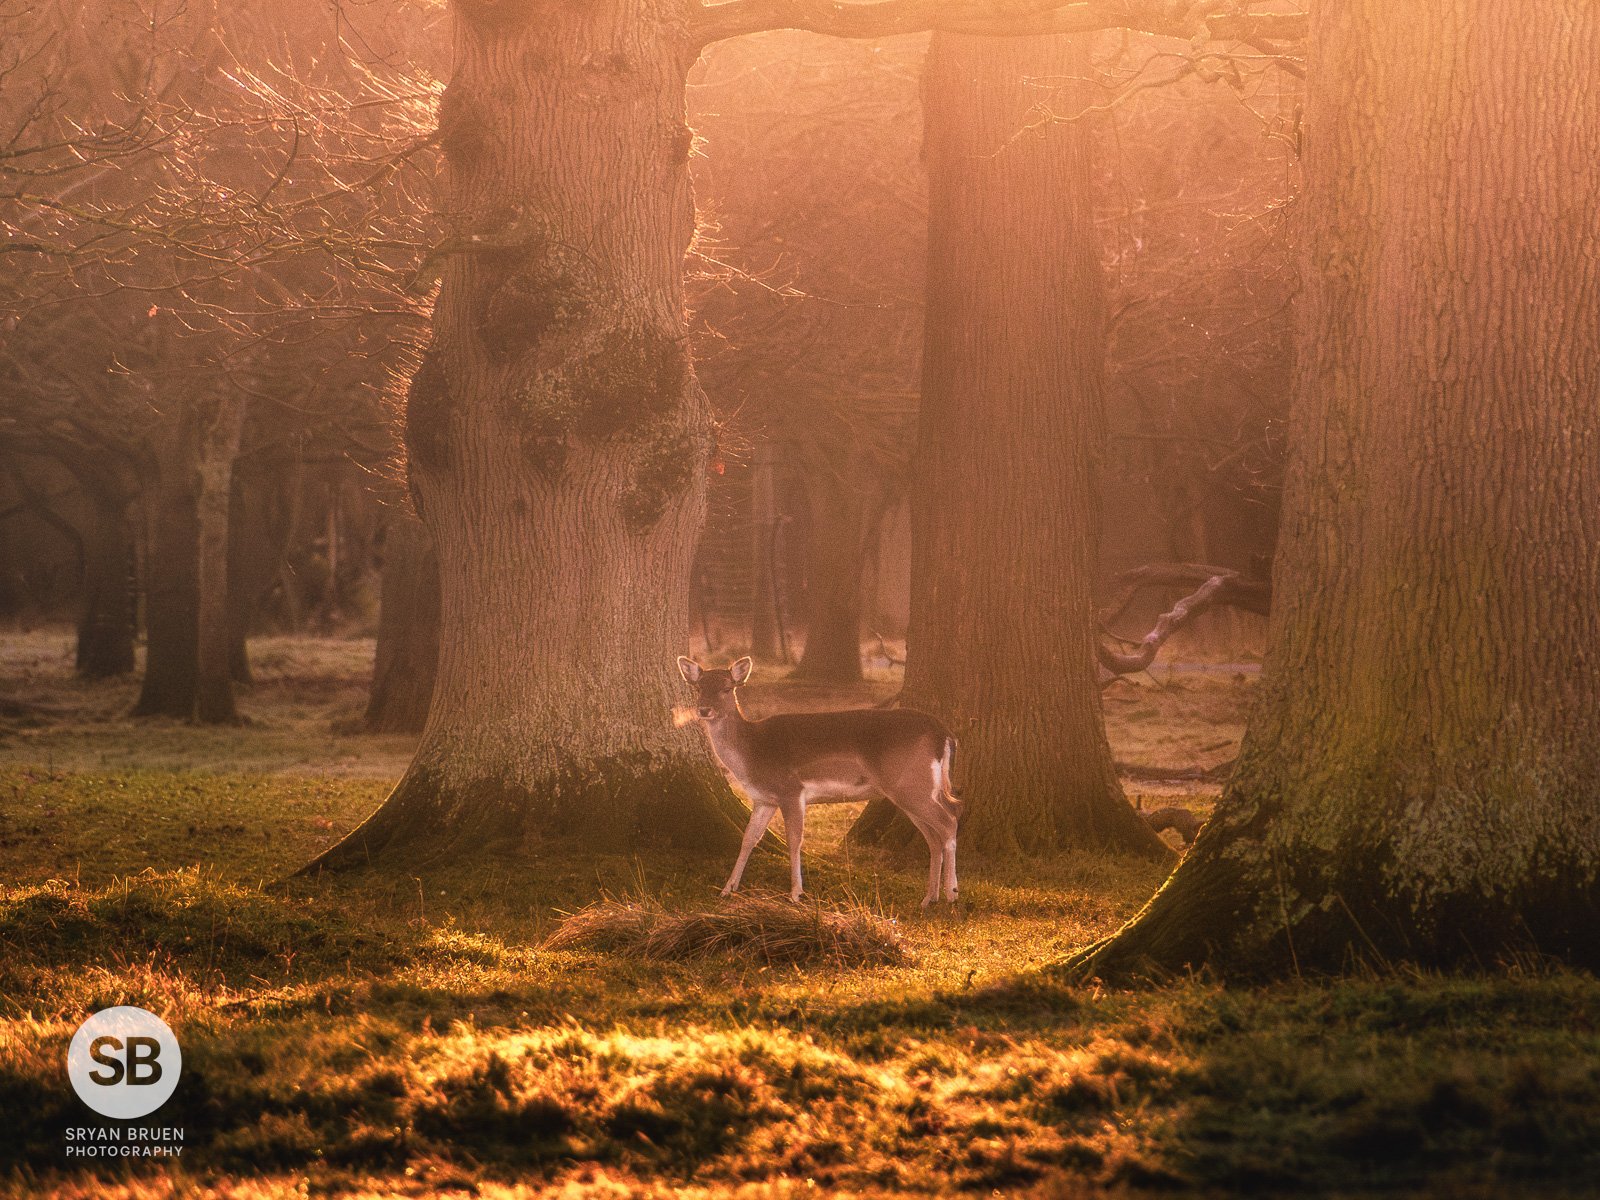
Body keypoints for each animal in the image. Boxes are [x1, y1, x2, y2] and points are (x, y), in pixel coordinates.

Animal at [676, 655, 961, 908]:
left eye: (727, 688)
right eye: (699, 687)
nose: (704, 710)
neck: (752, 753)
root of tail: (944, 733)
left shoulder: (791, 789)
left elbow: (795, 840)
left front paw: (795, 893)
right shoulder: (763, 799)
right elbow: (748, 838)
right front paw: (727, 889)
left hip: (912, 783)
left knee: (949, 820)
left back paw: (951, 893)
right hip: (909, 790)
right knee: (934, 836)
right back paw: (929, 898)